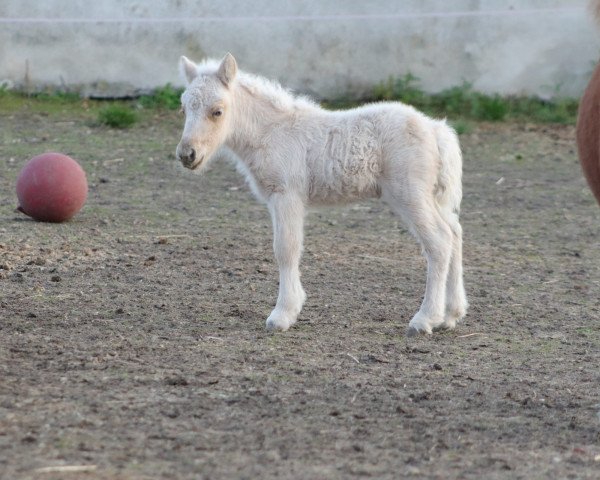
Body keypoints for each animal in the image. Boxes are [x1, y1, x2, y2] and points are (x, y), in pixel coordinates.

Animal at [176, 52, 466, 336]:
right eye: (184, 108)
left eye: (217, 111)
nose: (187, 155)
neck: (271, 132)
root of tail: (435, 129)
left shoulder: (287, 195)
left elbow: (286, 248)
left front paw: (283, 314)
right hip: (432, 198)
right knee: (454, 232)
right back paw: (451, 314)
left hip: (410, 194)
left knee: (439, 242)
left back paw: (425, 319)